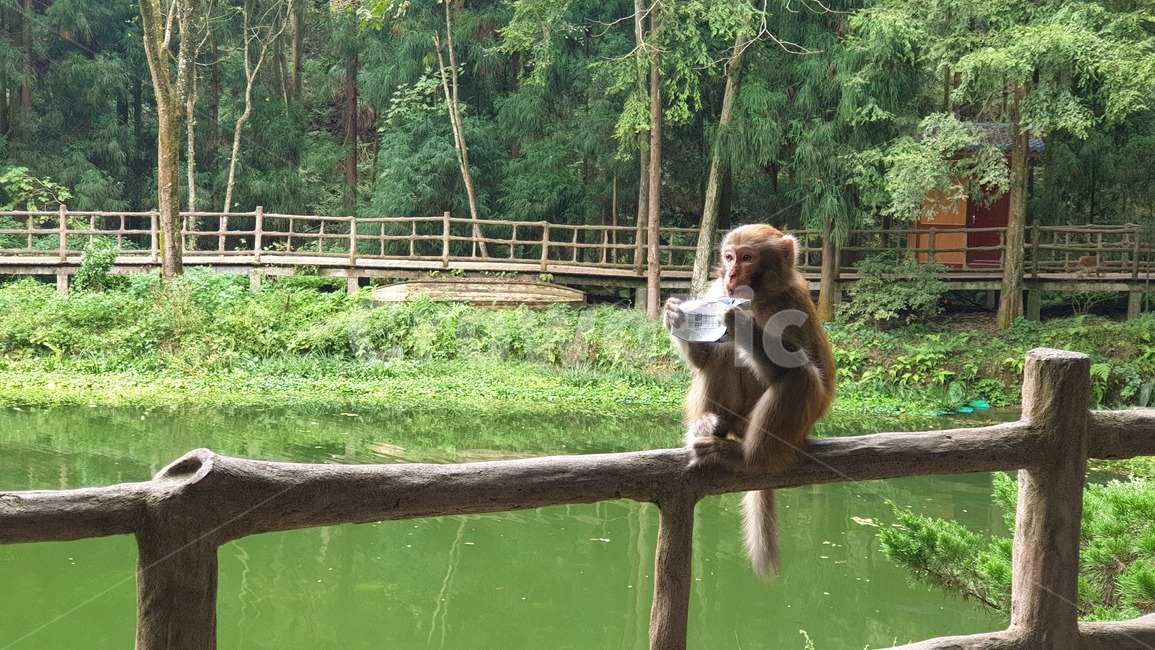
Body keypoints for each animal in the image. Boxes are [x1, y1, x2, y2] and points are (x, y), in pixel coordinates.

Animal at [663, 223, 835, 578]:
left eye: (747, 258)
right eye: (729, 257)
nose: (731, 274)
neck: (758, 297)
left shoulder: (793, 303)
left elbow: (795, 368)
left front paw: (742, 324)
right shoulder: (716, 291)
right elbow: (706, 357)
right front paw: (676, 317)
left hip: (791, 430)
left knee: (800, 378)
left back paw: (744, 457)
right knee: (724, 354)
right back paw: (710, 425)